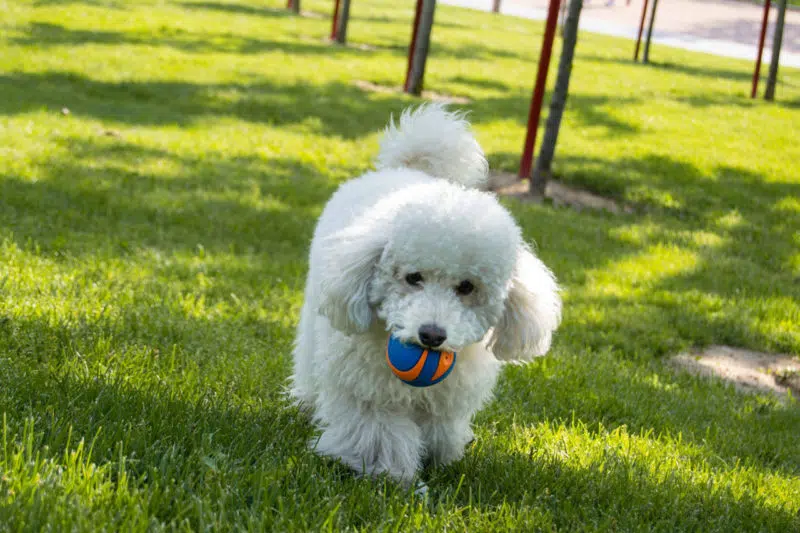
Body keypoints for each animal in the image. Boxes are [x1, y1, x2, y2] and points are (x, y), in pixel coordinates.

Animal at [290, 106, 564, 484]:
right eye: (412, 278)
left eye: (466, 287)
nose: (432, 335)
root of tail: (407, 169)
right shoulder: (366, 386)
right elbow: (379, 429)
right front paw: (387, 472)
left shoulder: (448, 393)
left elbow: (439, 424)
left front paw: (440, 454)